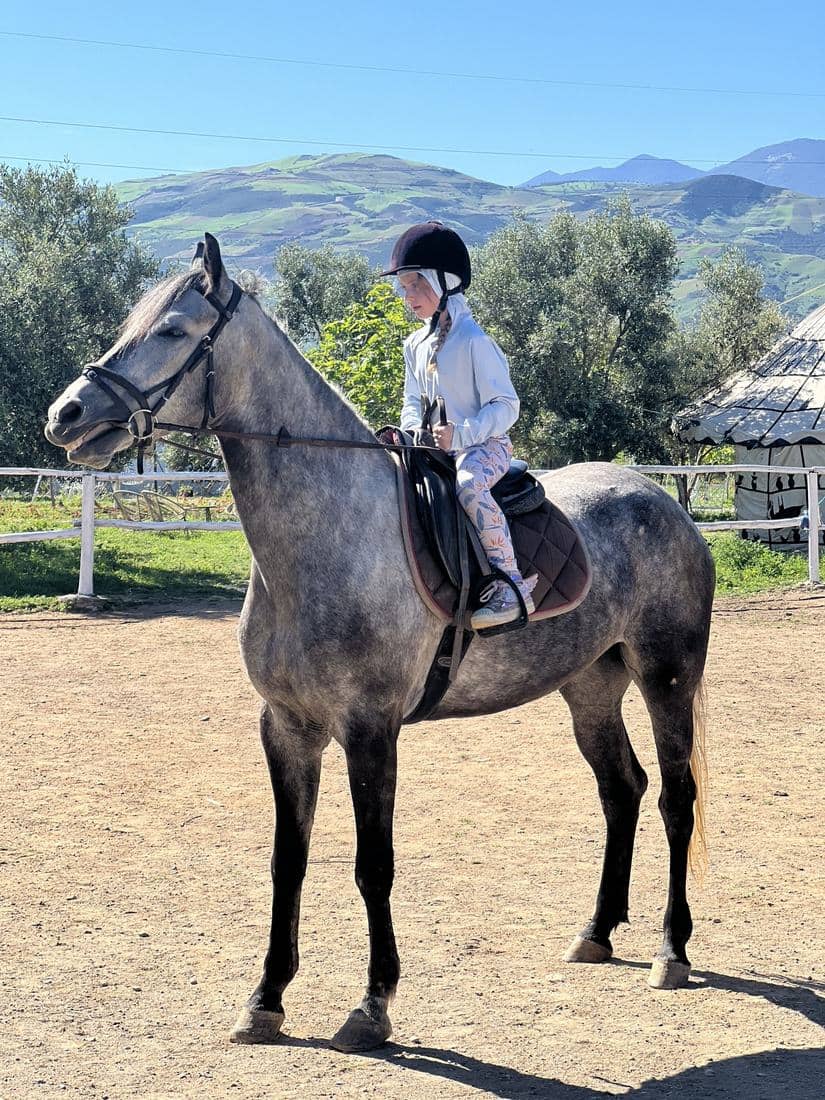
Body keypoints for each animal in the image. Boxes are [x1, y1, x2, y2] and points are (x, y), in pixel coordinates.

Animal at [45, 234, 714, 1053]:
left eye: (172, 330)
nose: (66, 414)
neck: (328, 536)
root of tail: (665, 506)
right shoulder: (287, 728)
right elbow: (289, 860)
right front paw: (265, 998)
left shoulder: (369, 730)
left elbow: (373, 866)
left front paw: (372, 1005)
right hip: (589, 687)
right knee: (622, 790)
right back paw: (596, 933)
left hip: (666, 677)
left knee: (676, 798)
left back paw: (670, 950)